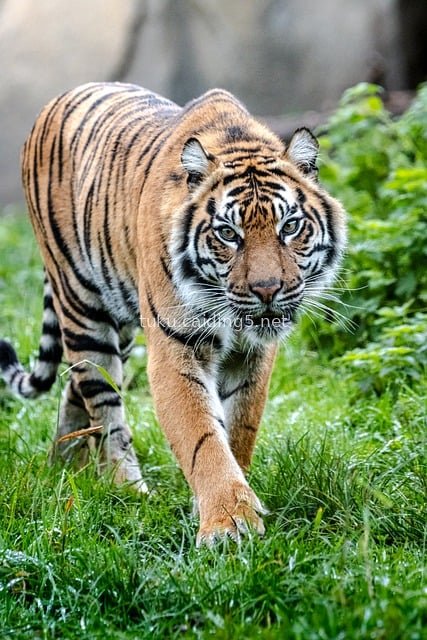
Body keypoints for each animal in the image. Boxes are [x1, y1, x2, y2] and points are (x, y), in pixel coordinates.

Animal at [0, 82, 346, 545]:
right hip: (83, 308)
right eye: (227, 234)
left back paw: (64, 466)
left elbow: (237, 430)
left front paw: (225, 504)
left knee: (75, 384)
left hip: (120, 321)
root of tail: (59, 98)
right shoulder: (176, 347)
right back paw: (124, 487)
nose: (267, 290)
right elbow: (202, 437)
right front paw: (228, 523)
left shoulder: (253, 356)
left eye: (289, 227)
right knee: (103, 405)